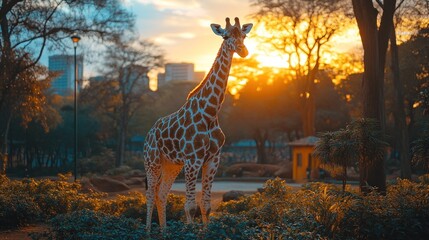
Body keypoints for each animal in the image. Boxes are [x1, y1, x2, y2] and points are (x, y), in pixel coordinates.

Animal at [142, 17, 252, 231]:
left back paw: (164, 231)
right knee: (150, 194)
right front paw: (190, 232)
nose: (243, 51)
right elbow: (190, 206)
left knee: (161, 193)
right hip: (152, 161)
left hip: (171, 165)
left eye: (243, 36)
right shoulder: (193, 159)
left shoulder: (213, 159)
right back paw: (148, 232)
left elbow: (206, 206)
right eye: (225, 36)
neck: (210, 113)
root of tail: (149, 133)